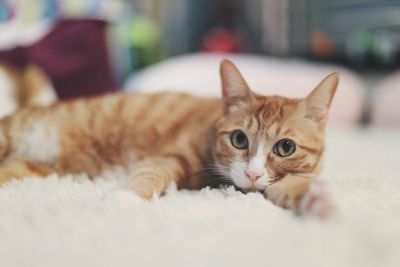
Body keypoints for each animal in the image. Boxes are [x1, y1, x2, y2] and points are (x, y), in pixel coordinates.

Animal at [0, 60, 338, 218]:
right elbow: (151, 174)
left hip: (31, 168)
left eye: (285, 147)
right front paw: (126, 198)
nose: (253, 173)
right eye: (239, 140)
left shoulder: (271, 184)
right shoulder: (170, 156)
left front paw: (317, 200)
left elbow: (289, 187)